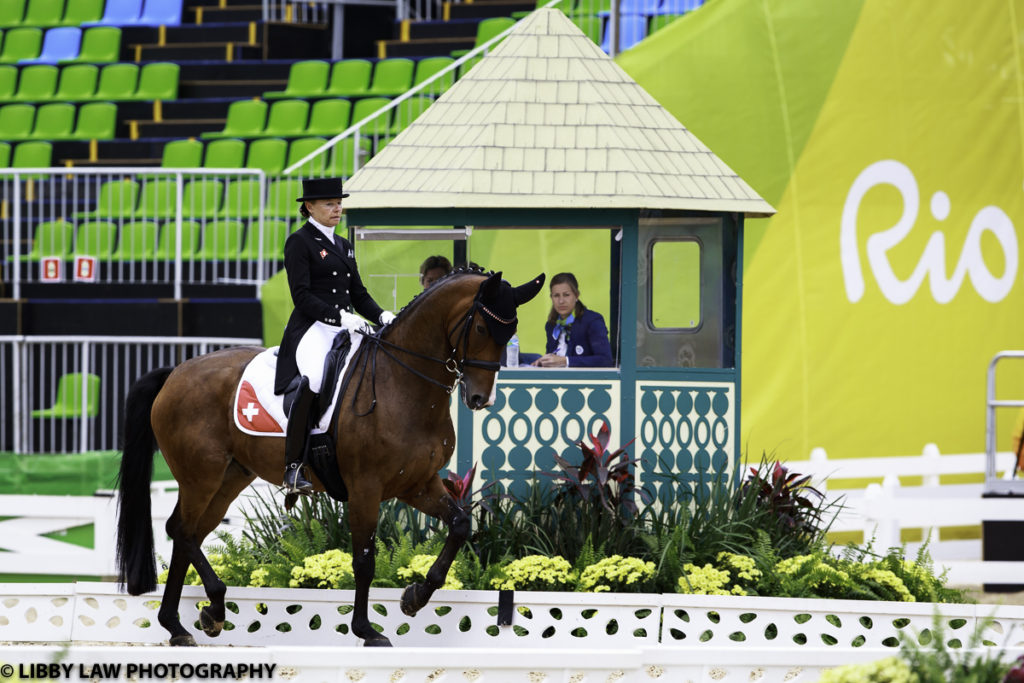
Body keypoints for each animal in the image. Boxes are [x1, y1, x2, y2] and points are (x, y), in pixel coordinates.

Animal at [114, 268, 544, 647]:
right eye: (483, 329)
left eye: (511, 331)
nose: (480, 398)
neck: (404, 385)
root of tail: (175, 373)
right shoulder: (366, 489)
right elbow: (364, 560)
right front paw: (367, 630)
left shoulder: (417, 484)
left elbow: (459, 525)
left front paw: (414, 598)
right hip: (200, 476)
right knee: (181, 531)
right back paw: (212, 609)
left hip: (228, 478)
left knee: (188, 535)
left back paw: (179, 625)